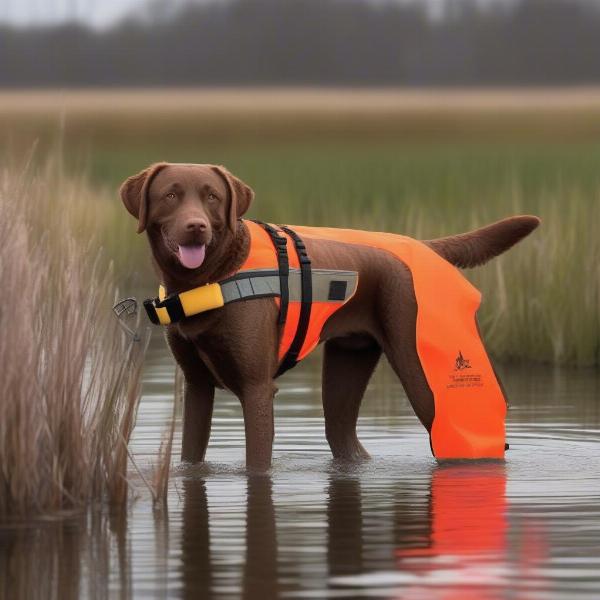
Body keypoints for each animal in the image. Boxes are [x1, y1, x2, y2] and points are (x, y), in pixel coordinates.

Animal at [118, 162, 540, 472]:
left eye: (212, 196)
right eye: (171, 195)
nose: (196, 227)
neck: (210, 278)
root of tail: (424, 245)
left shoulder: (257, 389)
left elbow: (257, 465)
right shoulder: (196, 387)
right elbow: (191, 455)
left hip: (425, 374)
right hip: (347, 367)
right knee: (346, 438)